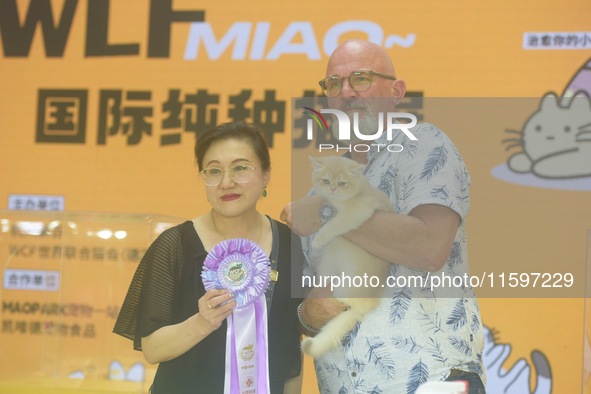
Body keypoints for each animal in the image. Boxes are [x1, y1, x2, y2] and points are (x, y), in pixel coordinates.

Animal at [302, 155, 396, 358]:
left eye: (342, 183)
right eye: (325, 180)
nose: (332, 189)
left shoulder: (357, 213)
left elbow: (334, 225)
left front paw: (319, 239)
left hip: (346, 286)